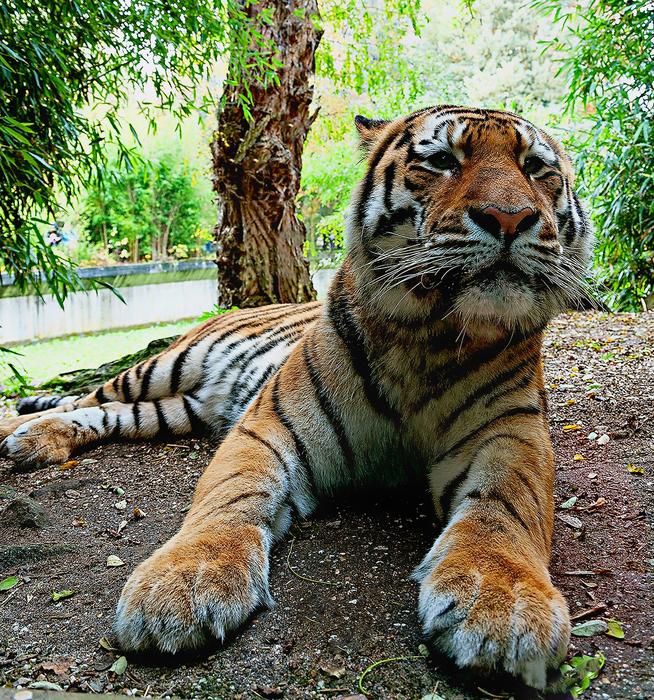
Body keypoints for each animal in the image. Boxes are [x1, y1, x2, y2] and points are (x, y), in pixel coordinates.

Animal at [0, 105, 593, 689]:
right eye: (443, 160)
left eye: (536, 168)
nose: (510, 218)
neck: (432, 339)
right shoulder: (268, 426)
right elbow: (229, 495)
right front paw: (181, 582)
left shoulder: (510, 436)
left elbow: (504, 510)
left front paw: (503, 603)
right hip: (162, 367)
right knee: (82, 396)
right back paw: (16, 430)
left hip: (172, 411)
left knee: (107, 414)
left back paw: (37, 442)